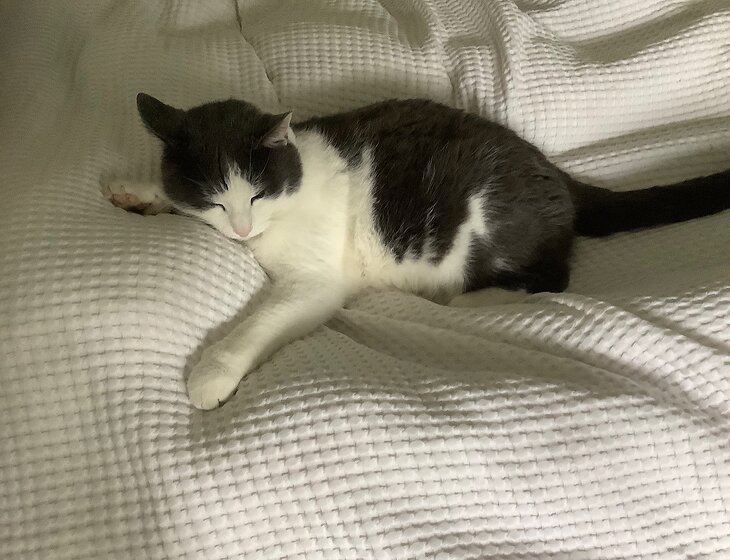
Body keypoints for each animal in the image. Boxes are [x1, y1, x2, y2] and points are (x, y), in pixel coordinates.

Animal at [105, 92, 730, 410]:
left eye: (256, 194)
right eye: (214, 200)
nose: (239, 231)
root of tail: (553, 170)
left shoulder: (316, 281)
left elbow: (260, 323)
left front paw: (214, 370)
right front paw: (141, 192)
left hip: (483, 221)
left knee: (554, 275)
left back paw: (475, 299)